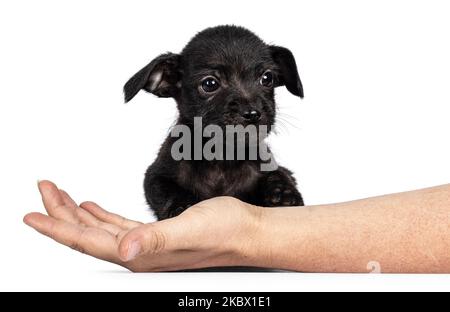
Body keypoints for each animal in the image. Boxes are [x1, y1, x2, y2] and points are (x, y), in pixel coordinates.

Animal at [125, 25, 304, 219]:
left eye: (267, 78)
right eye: (209, 84)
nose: (252, 113)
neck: (221, 156)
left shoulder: (274, 167)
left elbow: (279, 174)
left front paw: (284, 194)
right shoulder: (155, 176)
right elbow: (166, 189)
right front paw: (180, 205)